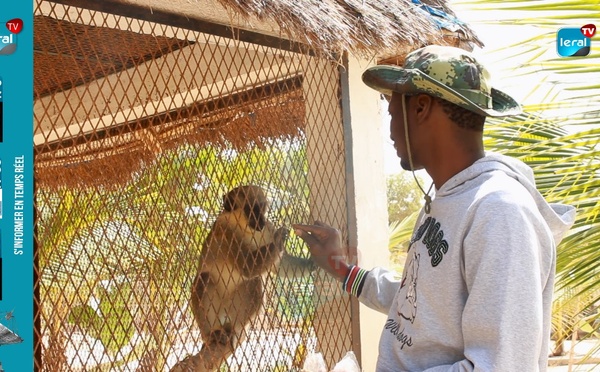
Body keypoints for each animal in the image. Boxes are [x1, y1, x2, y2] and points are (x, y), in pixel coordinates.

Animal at [170, 185, 292, 370]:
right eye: (251, 210)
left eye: (262, 208)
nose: (261, 221)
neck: (242, 227)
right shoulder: (225, 233)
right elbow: (247, 267)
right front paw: (279, 239)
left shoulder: (267, 230)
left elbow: (277, 267)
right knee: (204, 279)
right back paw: (212, 334)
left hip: (235, 307)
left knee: (254, 282)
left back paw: (235, 328)